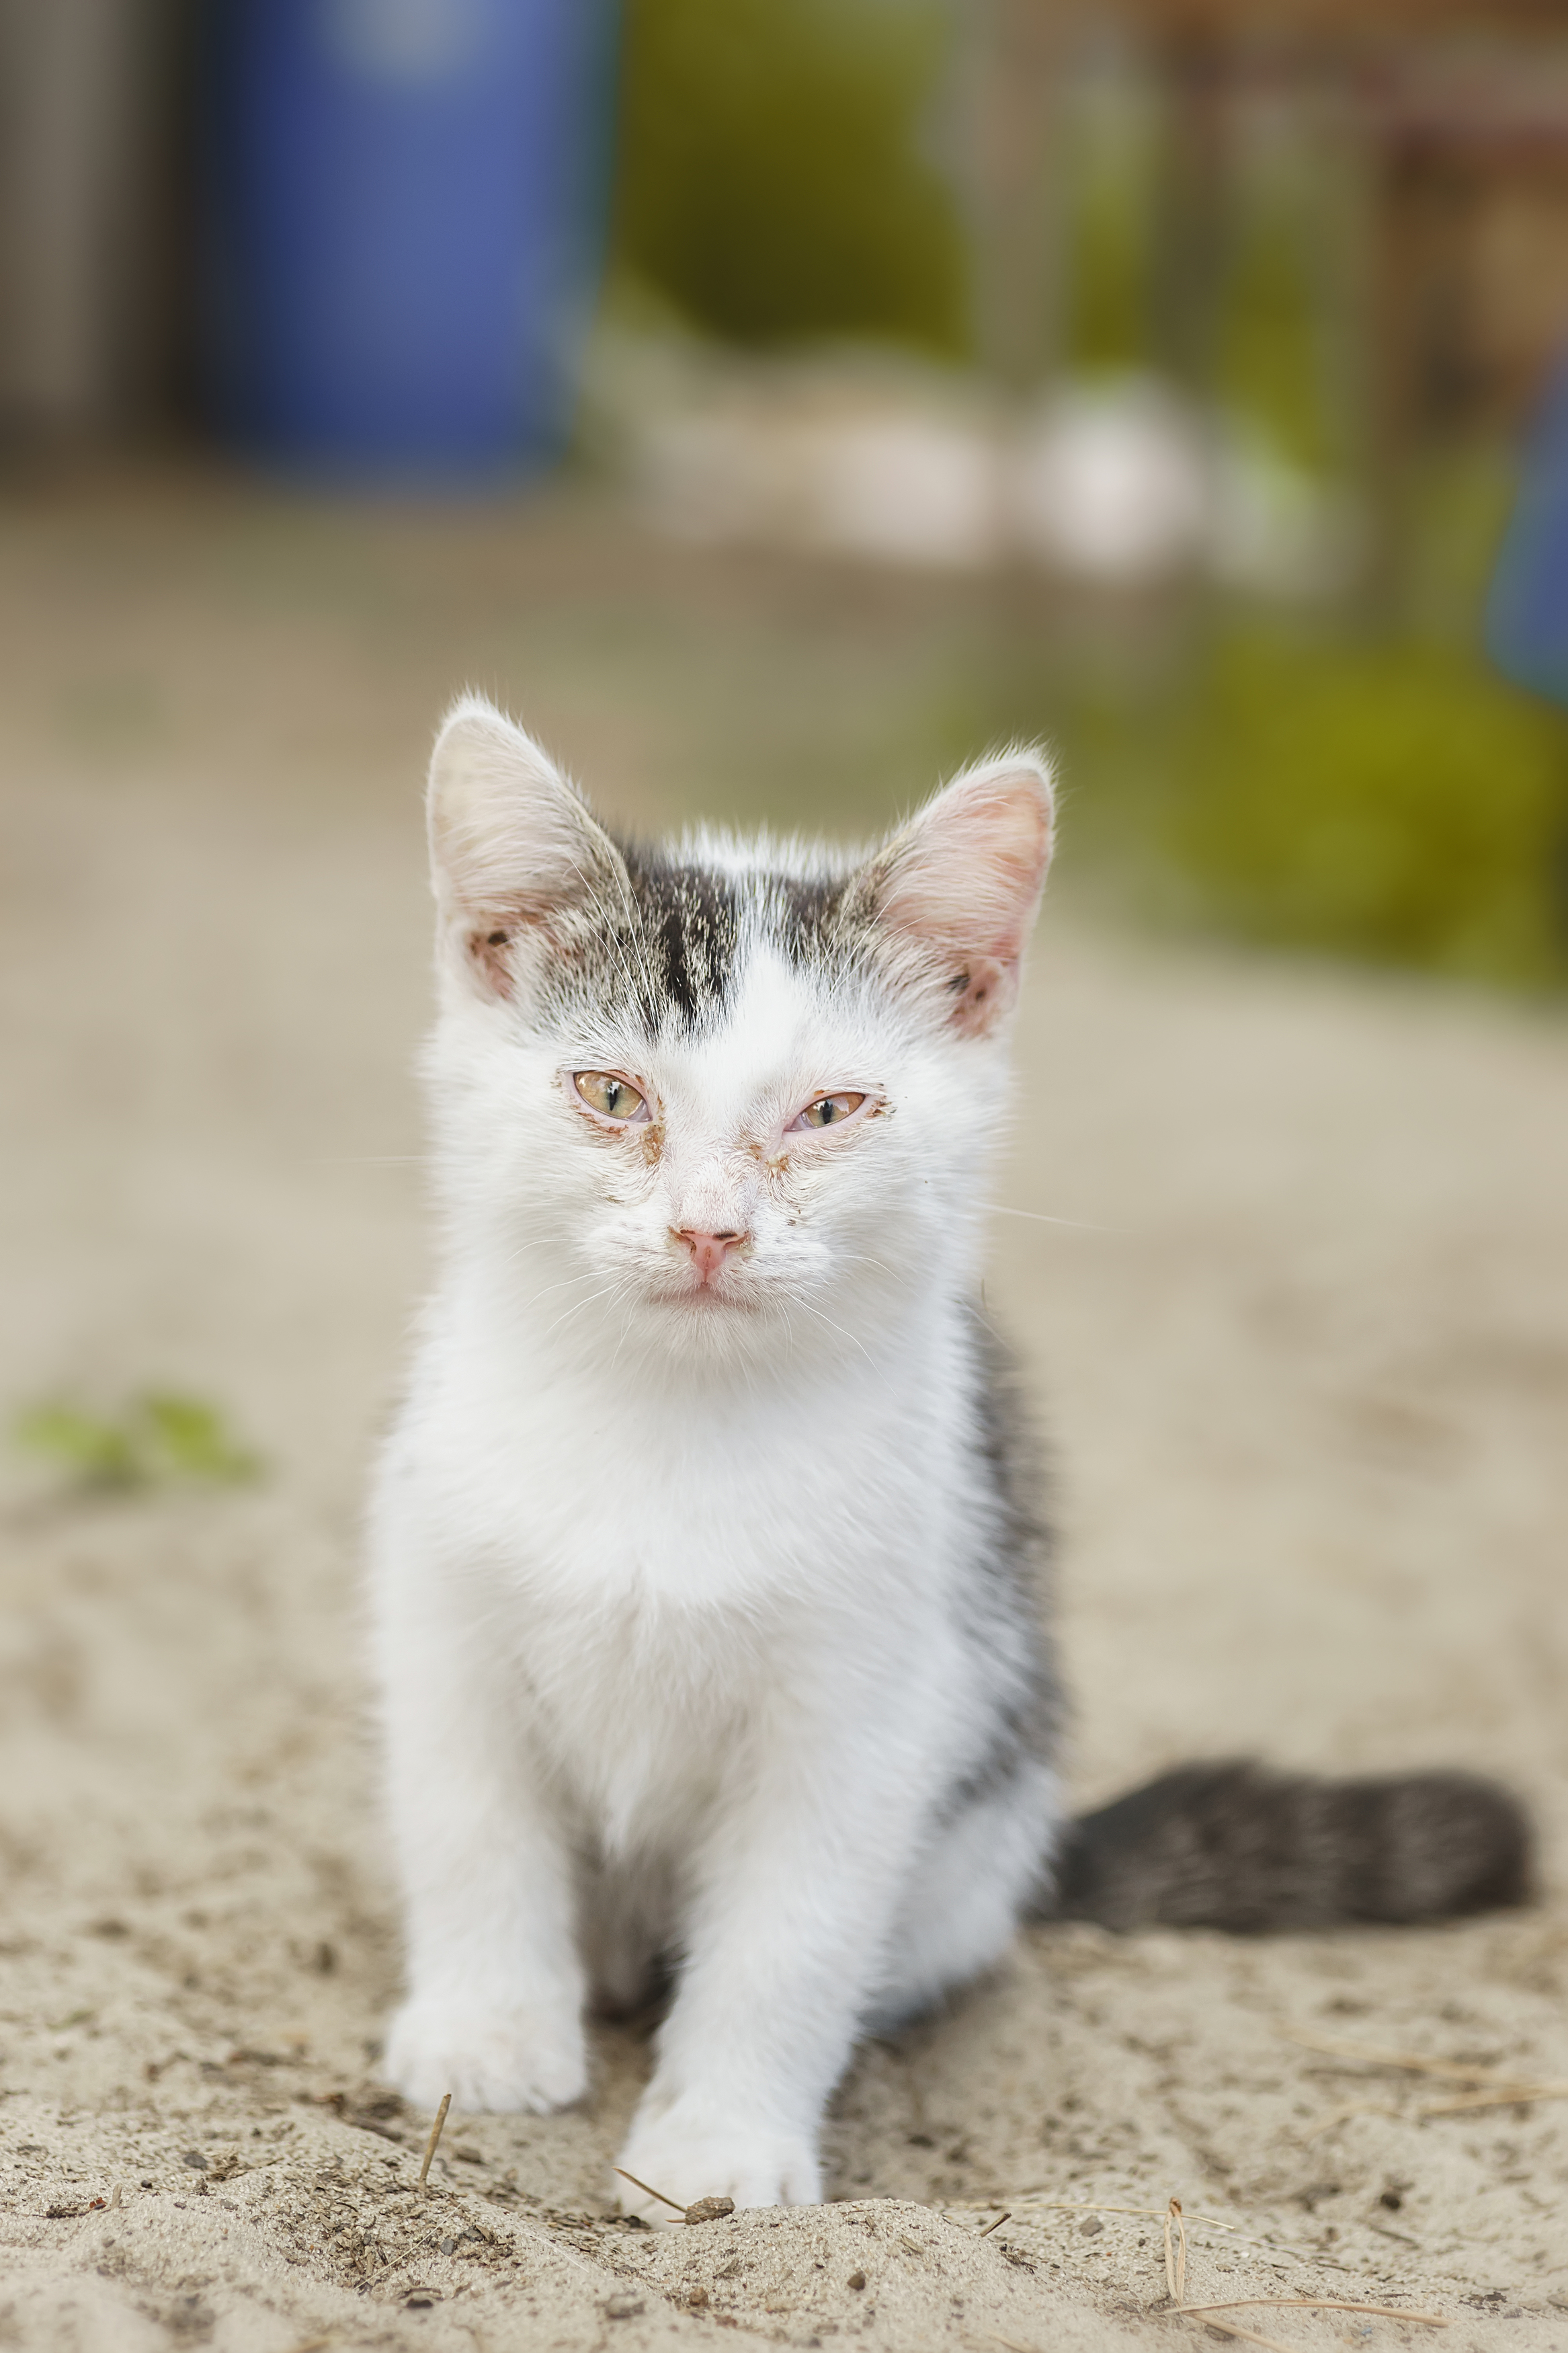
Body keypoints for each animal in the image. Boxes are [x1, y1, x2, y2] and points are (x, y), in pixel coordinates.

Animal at [371, 696, 1532, 2221]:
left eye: (828, 1112)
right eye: (612, 1093)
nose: (706, 1229)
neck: (675, 1419)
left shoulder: (869, 1703)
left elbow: (788, 1938)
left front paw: (719, 2145)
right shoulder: (442, 1617)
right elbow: (472, 1836)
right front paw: (485, 2037)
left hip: (975, 1804)